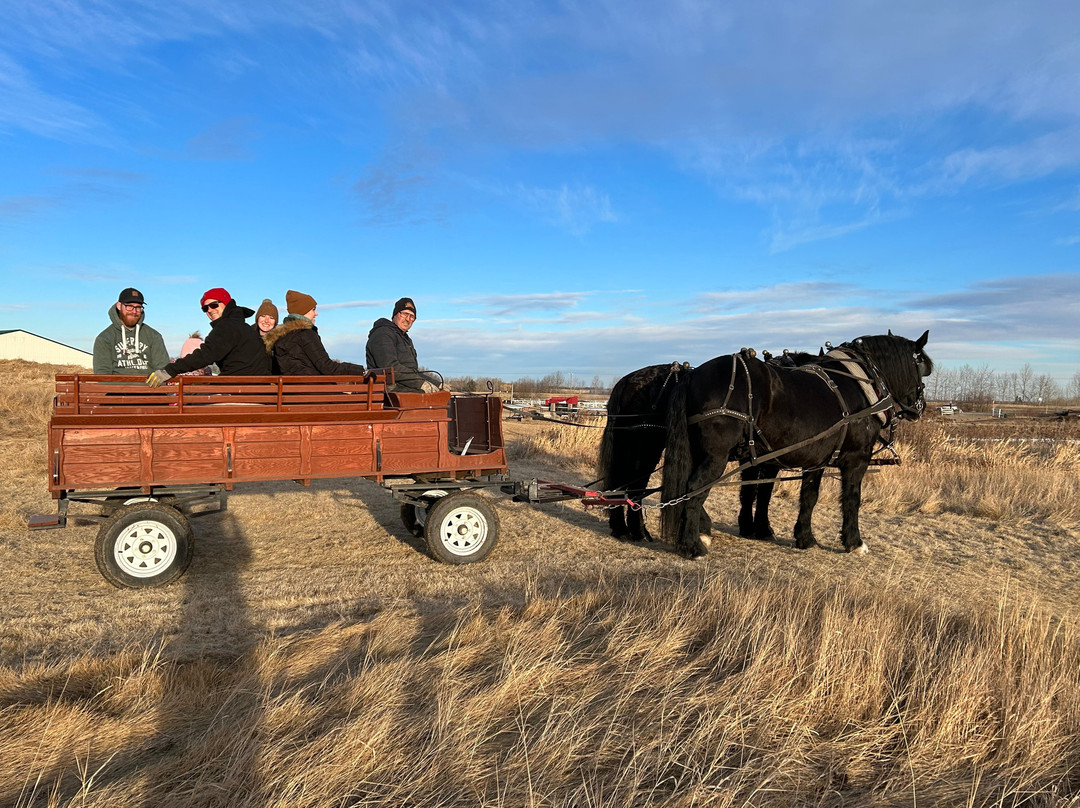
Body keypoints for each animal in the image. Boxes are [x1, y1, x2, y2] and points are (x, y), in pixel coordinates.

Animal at [660, 331, 932, 558]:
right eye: (920, 365)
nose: (920, 407)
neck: (860, 382)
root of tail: (692, 375)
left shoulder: (816, 459)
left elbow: (808, 496)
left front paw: (805, 538)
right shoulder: (857, 458)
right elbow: (852, 499)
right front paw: (854, 542)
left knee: (683, 488)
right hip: (716, 456)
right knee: (695, 488)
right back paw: (692, 545)